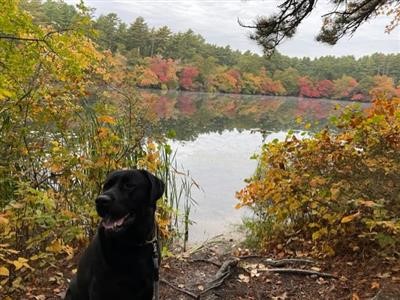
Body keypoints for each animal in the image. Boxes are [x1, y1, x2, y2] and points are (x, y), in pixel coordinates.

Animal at [65, 170, 164, 300]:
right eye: (106, 186)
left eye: (129, 185)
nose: (101, 200)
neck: (131, 243)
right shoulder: (99, 289)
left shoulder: (148, 287)